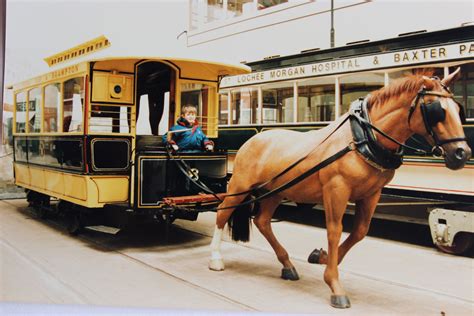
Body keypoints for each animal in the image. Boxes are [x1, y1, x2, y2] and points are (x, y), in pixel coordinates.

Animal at [207, 68, 470, 308]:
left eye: (459, 110)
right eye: (437, 111)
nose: (462, 153)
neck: (362, 139)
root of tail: (253, 140)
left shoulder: (371, 194)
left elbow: (359, 232)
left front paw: (321, 257)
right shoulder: (336, 190)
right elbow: (335, 231)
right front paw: (334, 285)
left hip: (276, 191)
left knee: (262, 221)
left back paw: (287, 264)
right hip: (240, 185)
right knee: (222, 212)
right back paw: (216, 258)